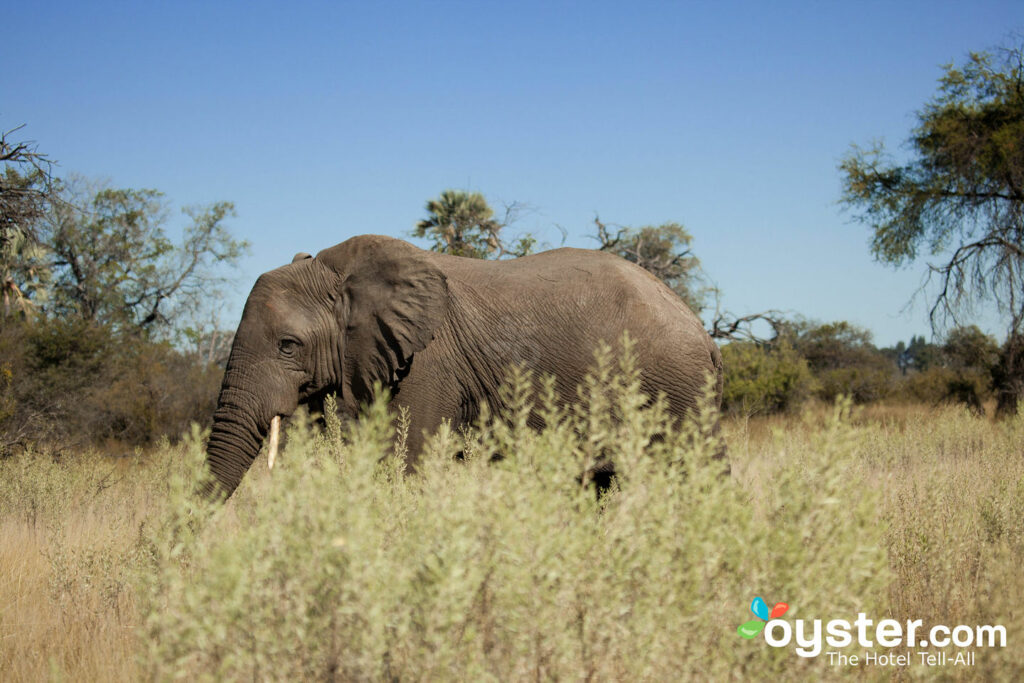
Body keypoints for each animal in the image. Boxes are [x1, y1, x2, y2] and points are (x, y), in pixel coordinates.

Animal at [203, 235, 724, 497]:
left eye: (288, 346)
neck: (340, 272)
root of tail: (702, 332)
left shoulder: (426, 364)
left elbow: (405, 462)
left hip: (676, 385)